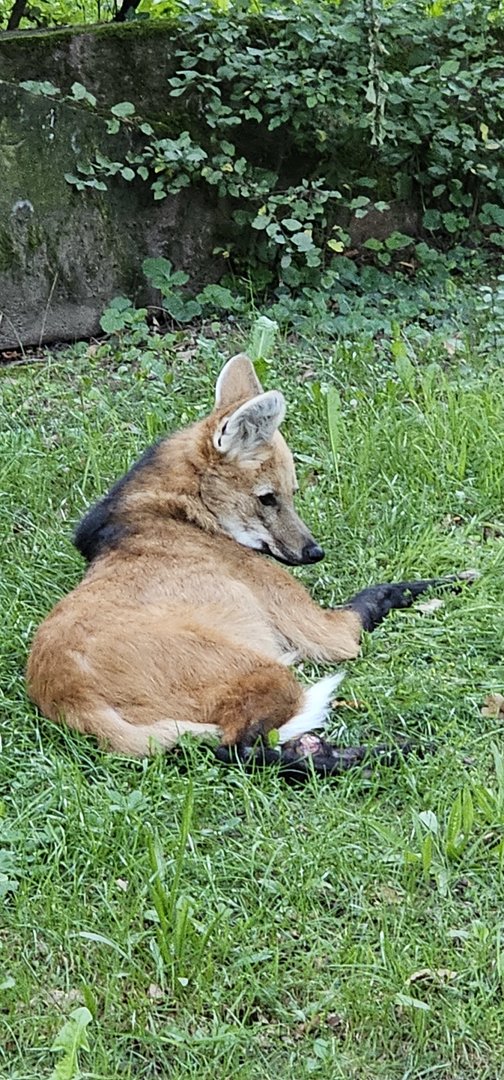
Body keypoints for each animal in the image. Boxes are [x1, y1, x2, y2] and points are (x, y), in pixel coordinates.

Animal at [27, 354, 470, 763]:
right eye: (267, 498)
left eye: (292, 493)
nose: (313, 552)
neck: (183, 513)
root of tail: (69, 696)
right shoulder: (329, 632)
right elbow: (381, 592)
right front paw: (456, 580)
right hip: (265, 671)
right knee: (238, 748)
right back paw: (384, 753)